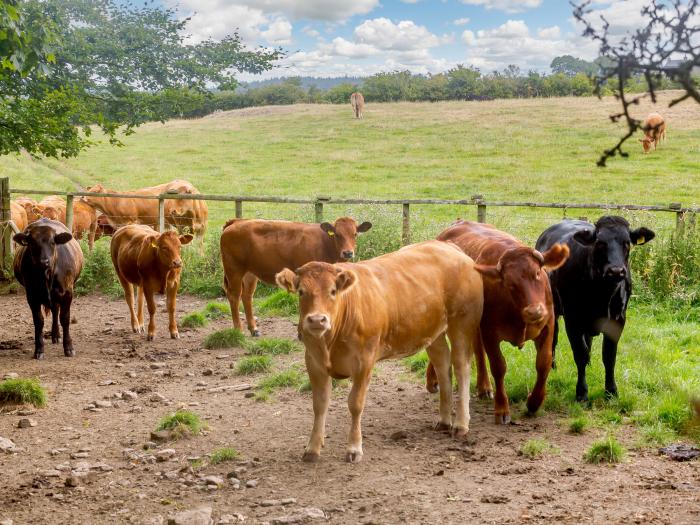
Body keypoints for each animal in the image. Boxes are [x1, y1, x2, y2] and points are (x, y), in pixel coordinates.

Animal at [12, 218, 83, 360]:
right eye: (32, 243)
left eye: (52, 242)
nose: (44, 261)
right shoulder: (32, 296)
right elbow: (38, 321)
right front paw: (39, 349)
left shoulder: (67, 293)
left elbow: (65, 319)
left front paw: (68, 348)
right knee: (54, 310)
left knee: (56, 312)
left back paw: (56, 335)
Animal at [220, 217, 372, 336]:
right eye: (337, 234)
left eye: (355, 234)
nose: (348, 253)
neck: (325, 244)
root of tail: (238, 221)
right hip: (233, 269)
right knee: (234, 296)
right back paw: (238, 330)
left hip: (250, 272)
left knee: (247, 296)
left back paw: (254, 329)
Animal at [276, 239, 484, 460]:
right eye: (301, 292)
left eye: (333, 291)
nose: (317, 320)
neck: (330, 342)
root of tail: (449, 246)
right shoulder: (313, 361)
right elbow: (319, 404)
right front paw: (312, 449)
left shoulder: (364, 361)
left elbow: (355, 404)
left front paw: (354, 448)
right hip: (432, 330)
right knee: (443, 365)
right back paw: (444, 421)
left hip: (462, 322)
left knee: (461, 367)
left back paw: (461, 424)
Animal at [426, 220, 568, 422]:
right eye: (510, 284)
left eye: (537, 274)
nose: (534, 311)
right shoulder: (490, 332)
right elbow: (498, 366)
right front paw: (502, 409)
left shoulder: (547, 326)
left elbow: (544, 363)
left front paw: (534, 402)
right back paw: (433, 379)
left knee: (477, 350)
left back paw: (484, 387)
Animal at [536, 215, 656, 400]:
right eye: (600, 243)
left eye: (627, 243)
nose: (616, 271)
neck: (602, 294)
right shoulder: (572, 319)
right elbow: (580, 354)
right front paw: (582, 392)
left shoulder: (618, 318)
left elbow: (609, 356)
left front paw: (611, 391)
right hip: (553, 309)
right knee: (553, 338)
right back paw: (552, 366)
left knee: (589, 341)